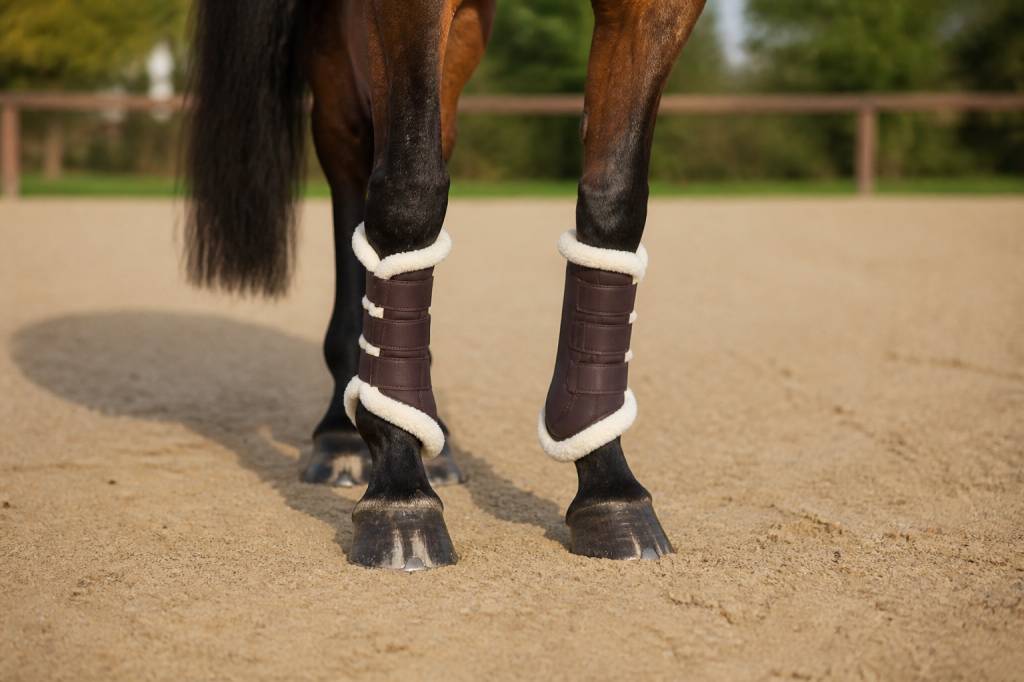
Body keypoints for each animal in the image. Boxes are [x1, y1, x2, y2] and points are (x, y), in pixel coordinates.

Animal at [185, 0, 706, 570]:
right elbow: (409, 192)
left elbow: (615, 200)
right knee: (353, 149)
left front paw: (608, 486)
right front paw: (399, 494)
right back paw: (346, 432)